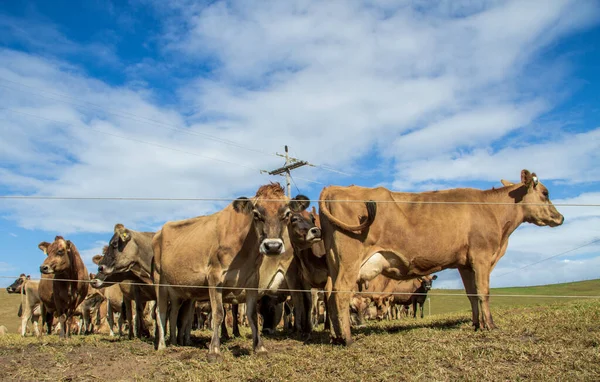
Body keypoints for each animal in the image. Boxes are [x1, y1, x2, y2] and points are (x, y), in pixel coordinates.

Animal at [152, 183, 312, 362]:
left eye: (287, 214)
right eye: (256, 214)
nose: (272, 246)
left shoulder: (252, 280)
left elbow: (251, 315)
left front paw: (259, 347)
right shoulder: (214, 277)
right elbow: (218, 314)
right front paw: (214, 351)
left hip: (179, 290)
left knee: (174, 312)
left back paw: (175, 342)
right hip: (159, 280)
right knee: (161, 311)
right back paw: (161, 345)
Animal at [322, 170, 564, 346]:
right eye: (545, 193)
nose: (560, 218)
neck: (491, 210)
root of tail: (333, 188)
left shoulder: (465, 264)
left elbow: (472, 294)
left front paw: (477, 325)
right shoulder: (482, 257)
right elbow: (484, 292)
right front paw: (491, 326)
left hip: (335, 262)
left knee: (330, 294)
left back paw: (335, 336)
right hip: (350, 260)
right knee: (341, 293)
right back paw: (348, 339)